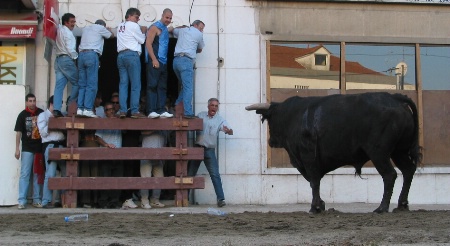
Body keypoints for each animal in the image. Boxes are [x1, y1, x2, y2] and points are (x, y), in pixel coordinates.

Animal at [244, 92, 420, 213]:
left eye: (270, 120)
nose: (271, 141)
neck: (292, 116)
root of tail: (395, 98)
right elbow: (313, 181)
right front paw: (320, 205)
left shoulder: (308, 156)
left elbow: (314, 181)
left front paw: (315, 207)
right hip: (399, 151)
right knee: (408, 170)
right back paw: (402, 204)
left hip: (379, 152)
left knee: (390, 175)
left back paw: (382, 208)